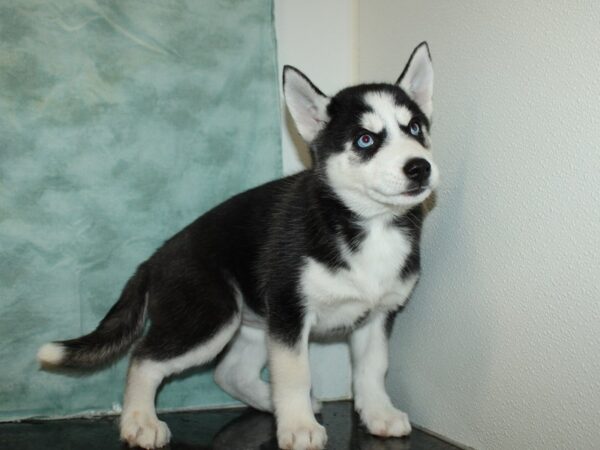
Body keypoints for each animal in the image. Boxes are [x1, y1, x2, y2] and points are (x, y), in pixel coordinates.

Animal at [38, 43, 440, 450]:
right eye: (365, 140)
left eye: (415, 128)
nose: (419, 167)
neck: (368, 224)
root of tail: (153, 260)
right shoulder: (290, 315)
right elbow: (295, 372)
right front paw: (299, 426)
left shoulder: (375, 315)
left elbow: (373, 369)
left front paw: (378, 413)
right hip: (212, 316)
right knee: (144, 357)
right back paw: (140, 421)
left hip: (253, 323)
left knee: (229, 373)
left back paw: (269, 402)